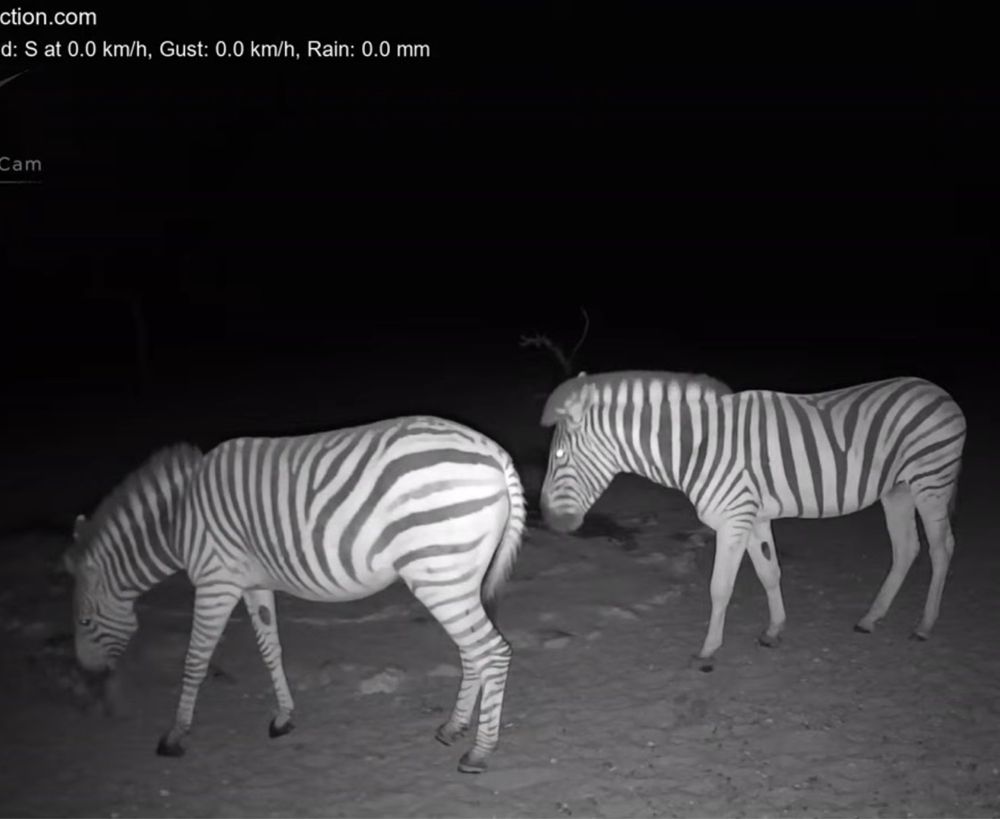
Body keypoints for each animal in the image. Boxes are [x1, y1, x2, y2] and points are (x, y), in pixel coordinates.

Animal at [62, 416, 526, 773]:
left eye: (84, 621)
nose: (87, 682)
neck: (177, 521)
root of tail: (496, 454)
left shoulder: (216, 582)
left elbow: (195, 660)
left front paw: (175, 736)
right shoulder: (254, 583)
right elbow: (271, 649)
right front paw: (284, 717)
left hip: (440, 574)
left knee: (493, 652)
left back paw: (480, 752)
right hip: (457, 578)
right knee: (473, 651)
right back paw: (454, 727)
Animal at [538, 370, 966, 671]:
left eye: (558, 457)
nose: (546, 519)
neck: (698, 447)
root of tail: (939, 392)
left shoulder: (733, 519)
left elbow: (720, 588)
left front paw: (708, 650)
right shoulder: (754, 518)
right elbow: (769, 572)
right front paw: (774, 630)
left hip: (931, 482)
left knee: (942, 548)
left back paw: (924, 625)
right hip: (897, 490)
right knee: (907, 549)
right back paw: (870, 618)